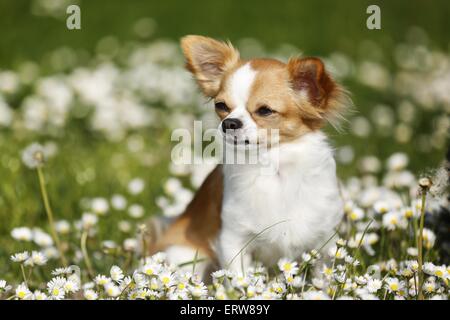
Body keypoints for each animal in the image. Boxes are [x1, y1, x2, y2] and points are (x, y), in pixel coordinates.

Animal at [149, 34, 348, 276]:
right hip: (184, 256)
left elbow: (325, 277)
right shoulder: (232, 240)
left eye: (265, 110)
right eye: (221, 106)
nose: (229, 123)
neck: (273, 167)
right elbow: (238, 278)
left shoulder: (326, 239)